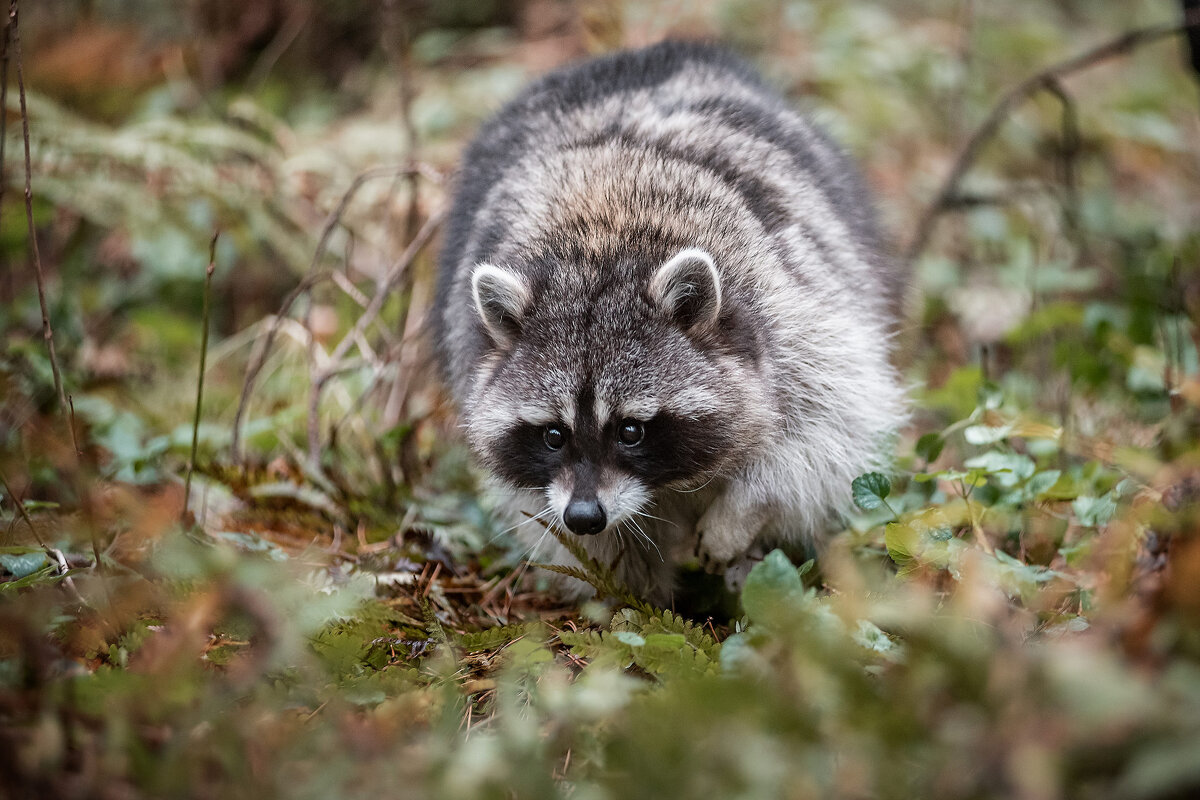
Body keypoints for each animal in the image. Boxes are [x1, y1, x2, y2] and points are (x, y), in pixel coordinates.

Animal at [436, 37, 902, 599]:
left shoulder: (791, 310)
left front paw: (743, 511)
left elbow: (822, 433)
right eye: (553, 435)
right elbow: (599, 543)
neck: (601, 248)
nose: (584, 516)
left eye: (631, 430)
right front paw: (637, 601)